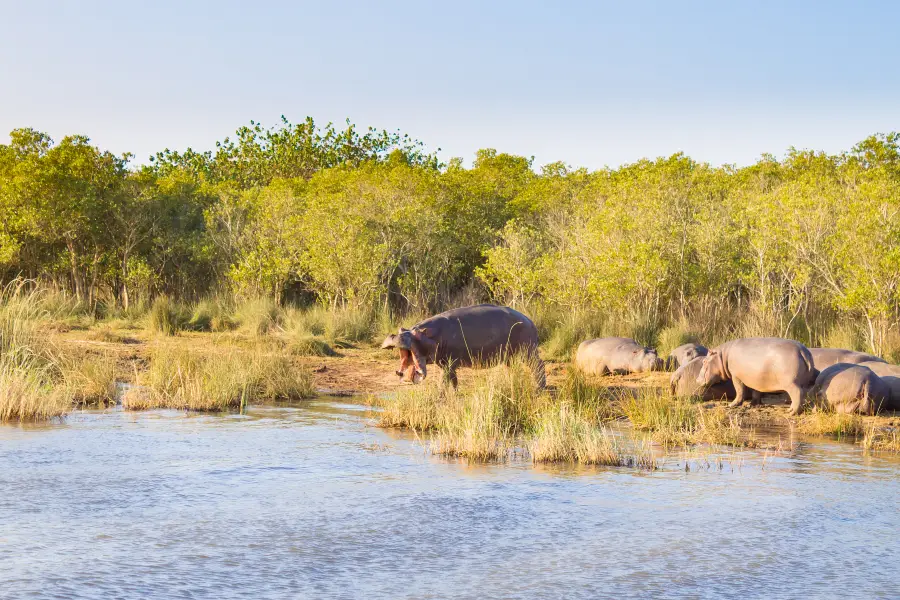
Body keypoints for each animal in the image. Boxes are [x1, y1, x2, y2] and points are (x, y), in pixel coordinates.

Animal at [378, 302, 544, 386]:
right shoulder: (446, 364)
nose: (395, 335)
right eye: (402, 329)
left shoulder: (450, 363)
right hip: (510, 357)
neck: (432, 335)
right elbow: (452, 382)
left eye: (417, 334)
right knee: (514, 368)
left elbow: (444, 383)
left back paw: (539, 388)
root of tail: (529, 320)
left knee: (539, 366)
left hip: (528, 351)